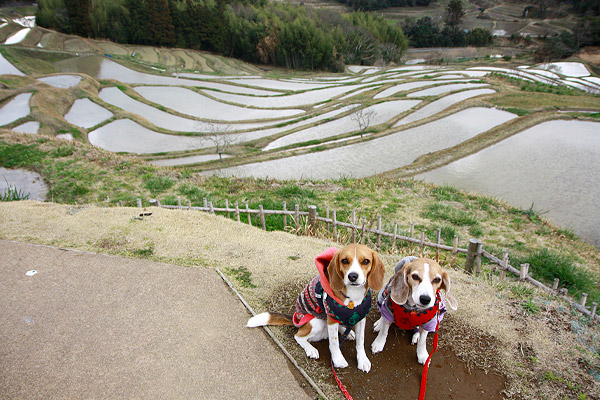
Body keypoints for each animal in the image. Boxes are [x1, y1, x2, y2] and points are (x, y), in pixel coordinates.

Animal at [247, 244, 384, 372]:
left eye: (366, 261)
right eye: (344, 260)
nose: (353, 276)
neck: (353, 298)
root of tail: (295, 318)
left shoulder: (361, 319)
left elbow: (360, 342)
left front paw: (363, 360)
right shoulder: (331, 318)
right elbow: (334, 343)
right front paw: (338, 360)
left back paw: (347, 332)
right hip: (316, 322)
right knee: (298, 336)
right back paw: (311, 349)